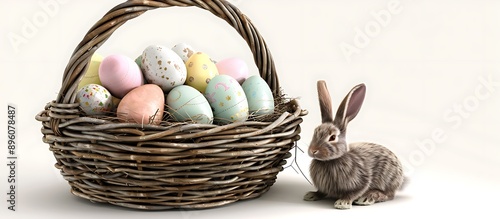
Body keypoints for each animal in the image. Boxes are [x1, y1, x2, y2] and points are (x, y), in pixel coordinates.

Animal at [302, 80, 404, 209]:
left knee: (389, 195)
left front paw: (342, 203)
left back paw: (368, 197)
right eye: (315, 132)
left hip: (388, 179)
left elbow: (355, 191)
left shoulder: (362, 180)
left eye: (332, 137)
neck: (330, 161)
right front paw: (311, 195)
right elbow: (321, 191)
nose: (313, 150)